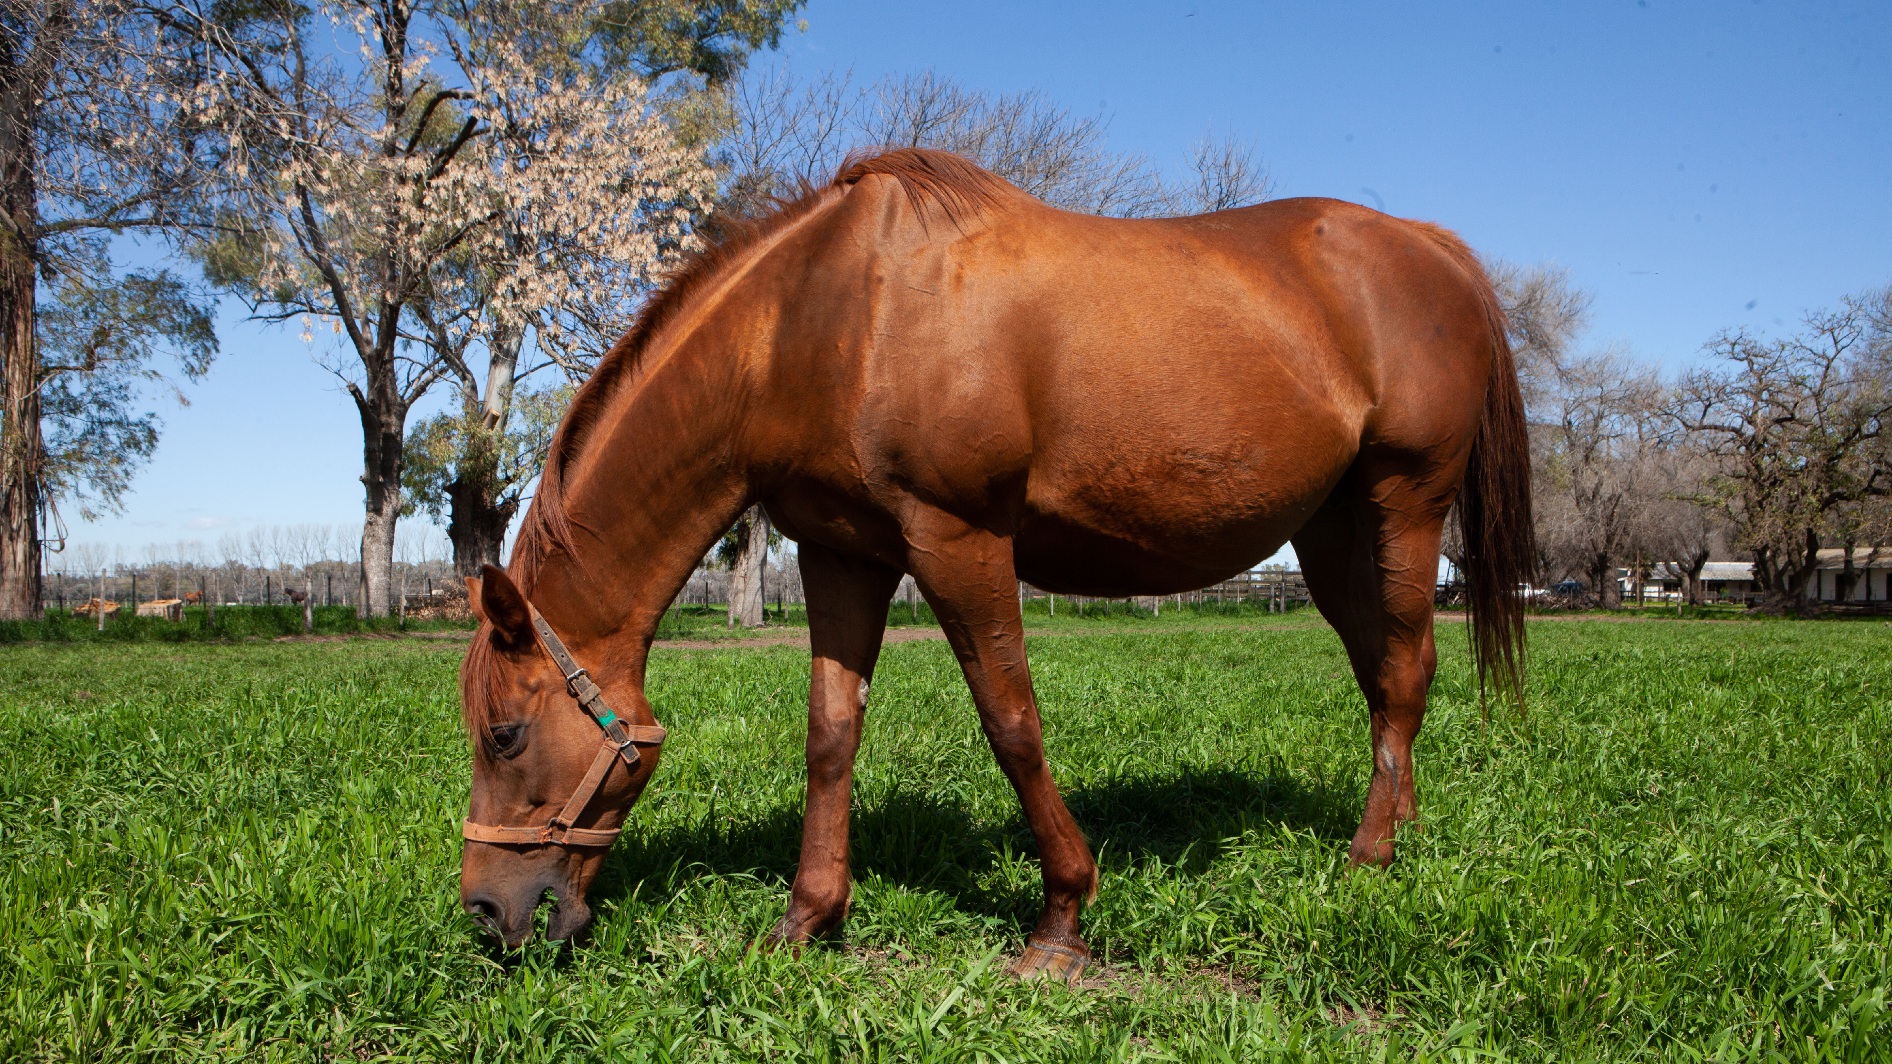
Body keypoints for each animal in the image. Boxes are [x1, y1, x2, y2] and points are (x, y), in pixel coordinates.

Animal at [457, 149, 1536, 976]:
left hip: (1403, 504)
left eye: (504, 734)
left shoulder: (957, 538)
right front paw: (805, 920)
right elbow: (829, 734)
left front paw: (1060, 917)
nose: (486, 912)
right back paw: (1397, 833)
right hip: (1332, 530)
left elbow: (1011, 721)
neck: (828, 317)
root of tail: (1430, 246)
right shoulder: (841, 553)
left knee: (1403, 672)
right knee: (1387, 674)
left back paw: (1368, 855)